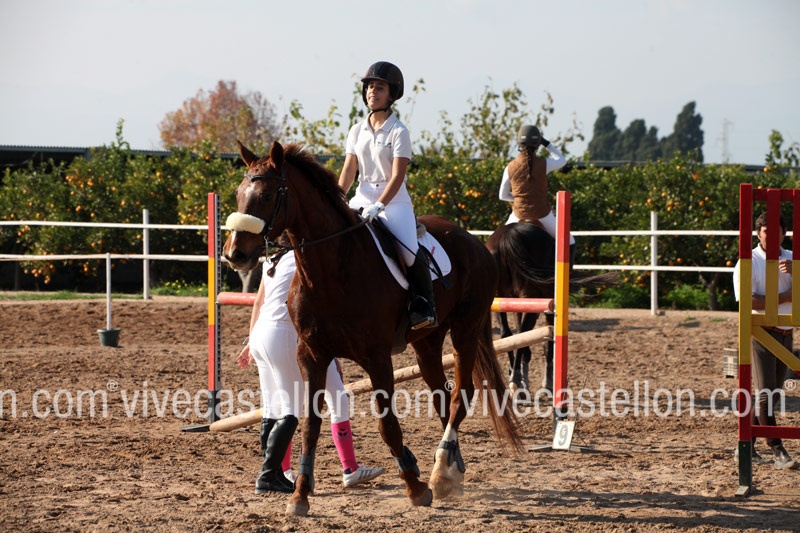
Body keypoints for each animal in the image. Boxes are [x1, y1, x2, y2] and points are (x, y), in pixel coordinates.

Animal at [223, 141, 521, 516]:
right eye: (238, 194)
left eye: (264, 196)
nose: (234, 254)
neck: (331, 269)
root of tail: (475, 243)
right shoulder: (312, 355)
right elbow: (309, 425)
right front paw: (300, 495)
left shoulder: (377, 358)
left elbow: (387, 425)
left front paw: (415, 488)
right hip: (427, 343)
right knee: (441, 394)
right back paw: (451, 468)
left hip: (465, 331)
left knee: (459, 396)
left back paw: (440, 474)